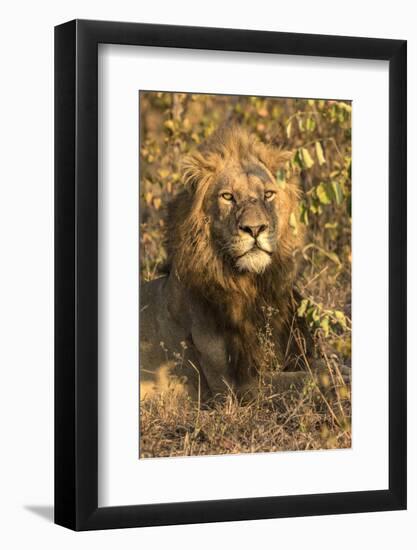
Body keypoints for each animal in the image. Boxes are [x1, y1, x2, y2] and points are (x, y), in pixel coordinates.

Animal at [140, 126, 344, 406]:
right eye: (228, 197)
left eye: (268, 194)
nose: (255, 229)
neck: (253, 286)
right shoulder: (235, 388)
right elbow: (310, 379)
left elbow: (330, 367)